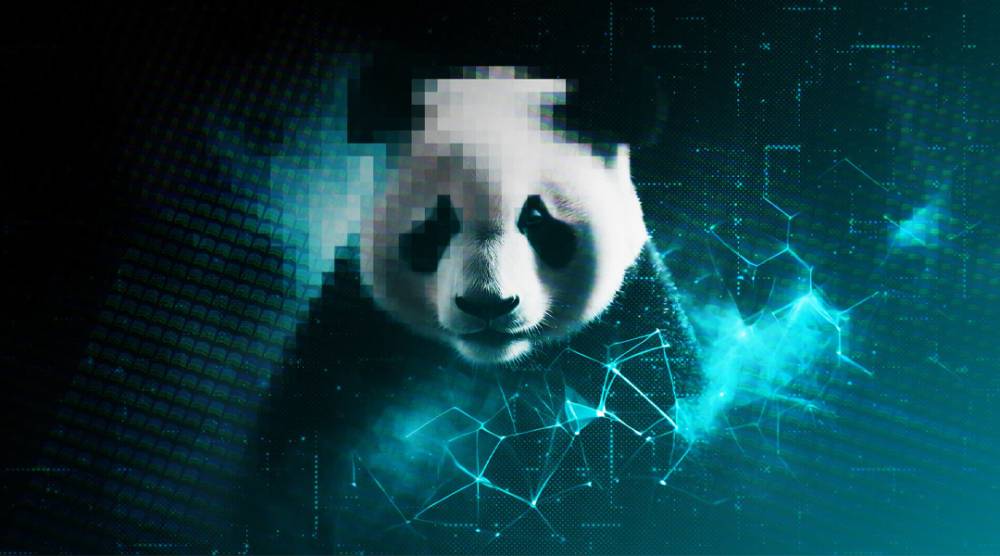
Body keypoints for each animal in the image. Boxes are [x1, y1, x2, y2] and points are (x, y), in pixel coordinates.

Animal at [237, 67, 702, 554]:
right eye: (438, 223)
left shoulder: (631, 339)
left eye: (536, 219)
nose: (488, 305)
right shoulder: (350, 345)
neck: (495, 370)